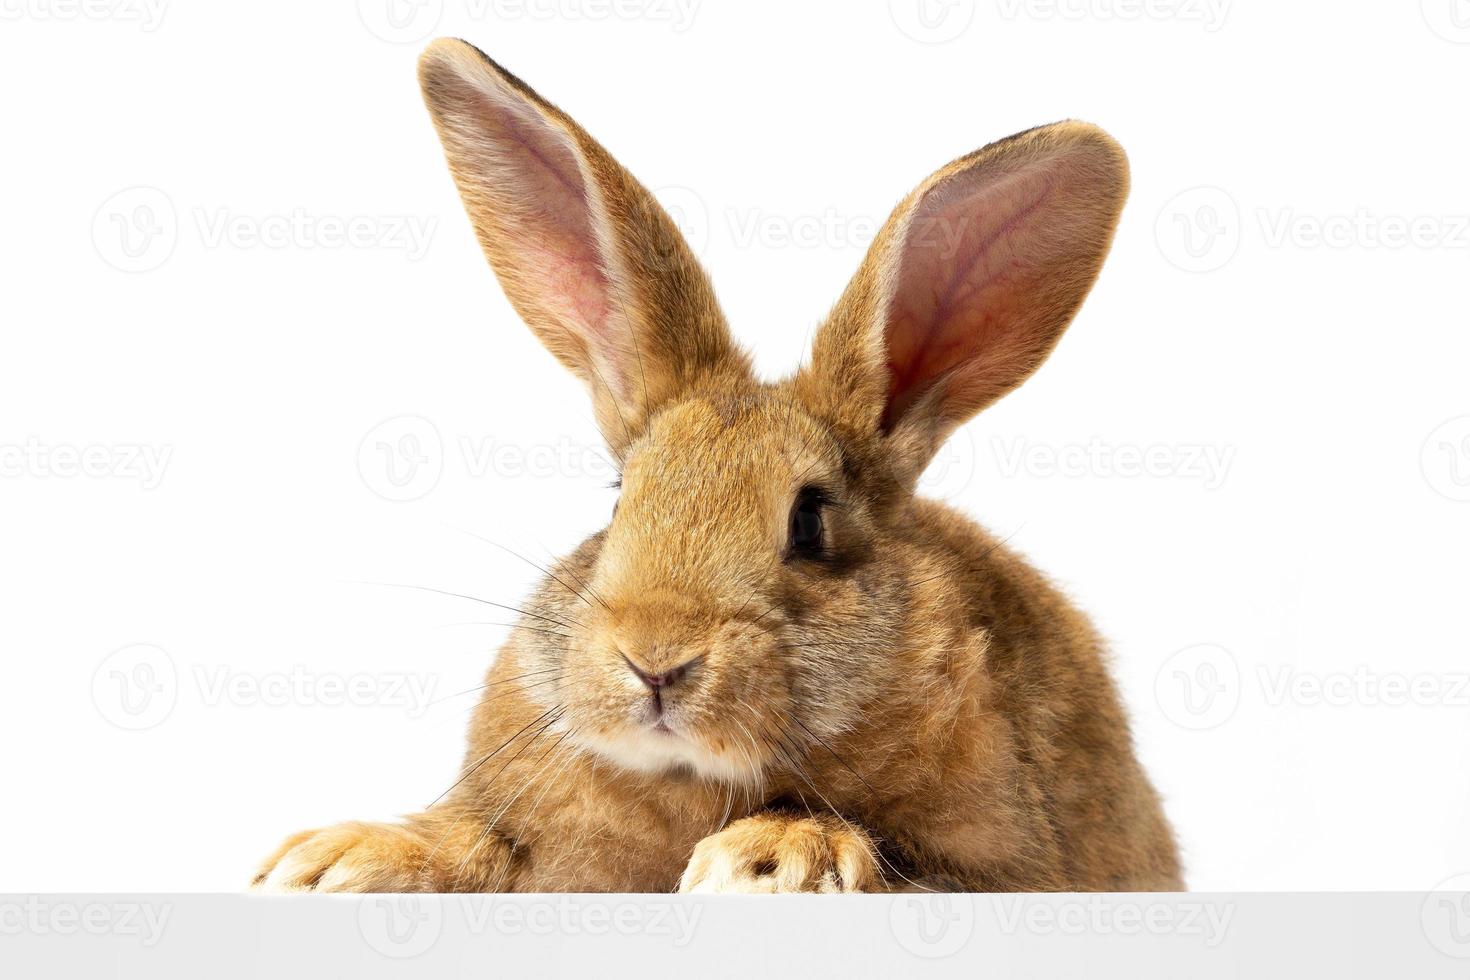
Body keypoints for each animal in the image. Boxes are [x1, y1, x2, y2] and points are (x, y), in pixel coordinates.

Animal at [258, 38, 1181, 899]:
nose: (655, 661)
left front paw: (773, 855)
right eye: (620, 498)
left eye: (810, 520)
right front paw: (330, 861)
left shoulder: (1004, 860)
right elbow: (475, 843)